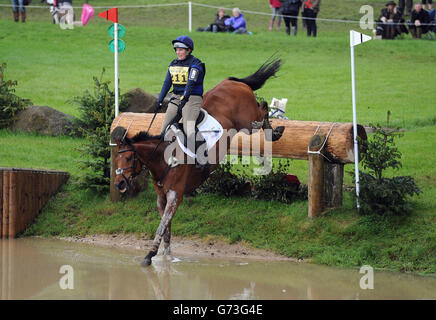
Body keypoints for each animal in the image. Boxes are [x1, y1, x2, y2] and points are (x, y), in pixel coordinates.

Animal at [110, 57, 284, 264]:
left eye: (129, 157)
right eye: (118, 158)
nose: (119, 183)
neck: (164, 159)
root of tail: (232, 82)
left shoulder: (175, 195)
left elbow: (162, 225)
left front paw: (150, 254)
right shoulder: (162, 197)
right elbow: (166, 228)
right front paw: (166, 256)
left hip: (245, 122)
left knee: (262, 109)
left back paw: (273, 130)